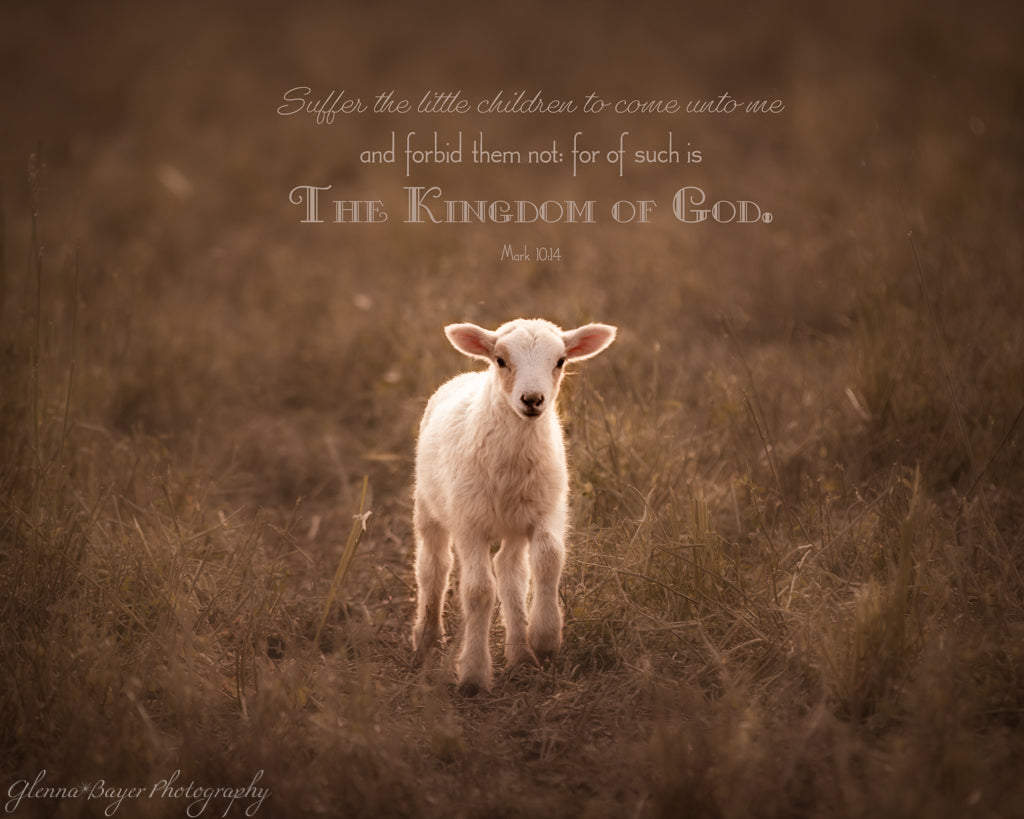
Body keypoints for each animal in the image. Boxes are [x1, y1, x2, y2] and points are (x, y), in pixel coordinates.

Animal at [411, 317, 617, 695]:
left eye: (560, 361)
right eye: (501, 360)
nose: (532, 400)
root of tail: (468, 375)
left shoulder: (545, 511)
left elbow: (549, 559)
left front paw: (545, 639)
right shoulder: (470, 522)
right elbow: (478, 591)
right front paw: (474, 675)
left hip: (513, 525)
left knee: (510, 571)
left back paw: (521, 653)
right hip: (429, 507)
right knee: (434, 566)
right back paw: (426, 639)